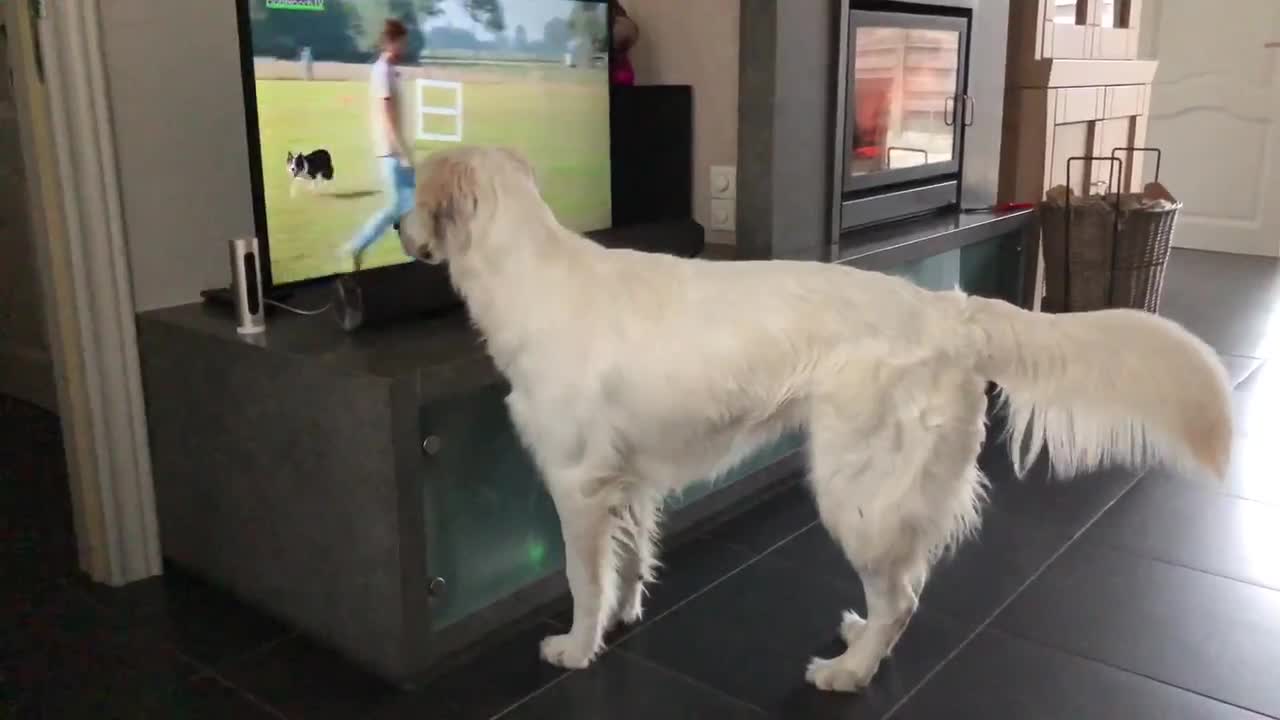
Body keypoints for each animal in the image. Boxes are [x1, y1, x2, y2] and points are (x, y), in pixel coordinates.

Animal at [404, 146, 1233, 691]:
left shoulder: (576, 483)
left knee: (902, 597)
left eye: (412, 191)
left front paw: (576, 648)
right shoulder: (626, 480)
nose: (401, 235)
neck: (530, 271)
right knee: (905, 586)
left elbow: (582, 579)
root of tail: (952, 308)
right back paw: (861, 640)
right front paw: (625, 614)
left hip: (855, 491)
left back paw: (847, 671)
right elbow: (630, 560)